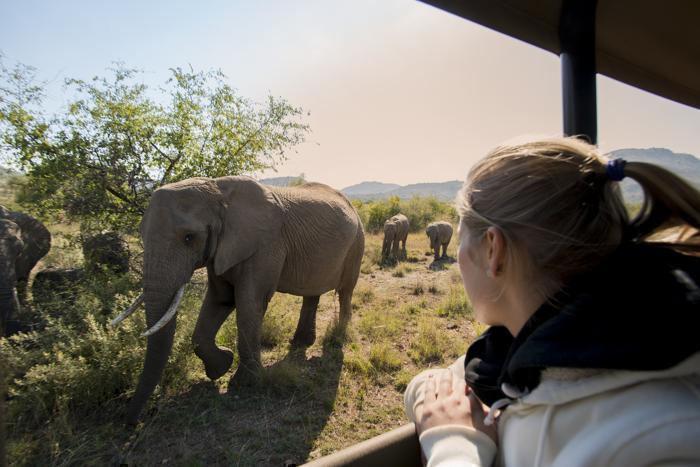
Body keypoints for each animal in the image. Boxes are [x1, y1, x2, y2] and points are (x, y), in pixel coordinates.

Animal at [113, 175, 366, 424]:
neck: (218, 191)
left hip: (357, 243)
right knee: (312, 293)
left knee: (346, 291)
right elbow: (220, 300)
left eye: (189, 238)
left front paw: (245, 384)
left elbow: (249, 304)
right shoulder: (222, 250)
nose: (130, 423)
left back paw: (339, 337)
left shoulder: (265, 246)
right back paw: (301, 343)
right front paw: (220, 368)